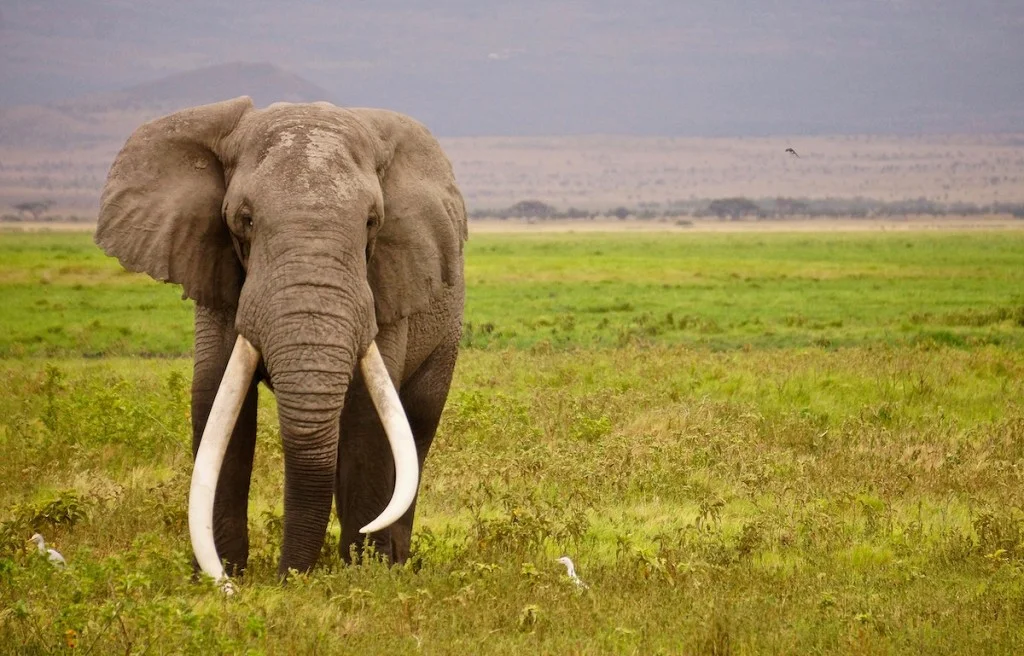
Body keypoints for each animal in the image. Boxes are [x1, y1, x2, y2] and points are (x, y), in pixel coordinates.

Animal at [94, 96, 466, 577]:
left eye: (371, 223)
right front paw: (217, 574)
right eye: (245, 220)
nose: (287, 577)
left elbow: (367, 415)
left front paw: (364, 573)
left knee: (415, 425)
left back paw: (393, 561)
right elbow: (216, 402)